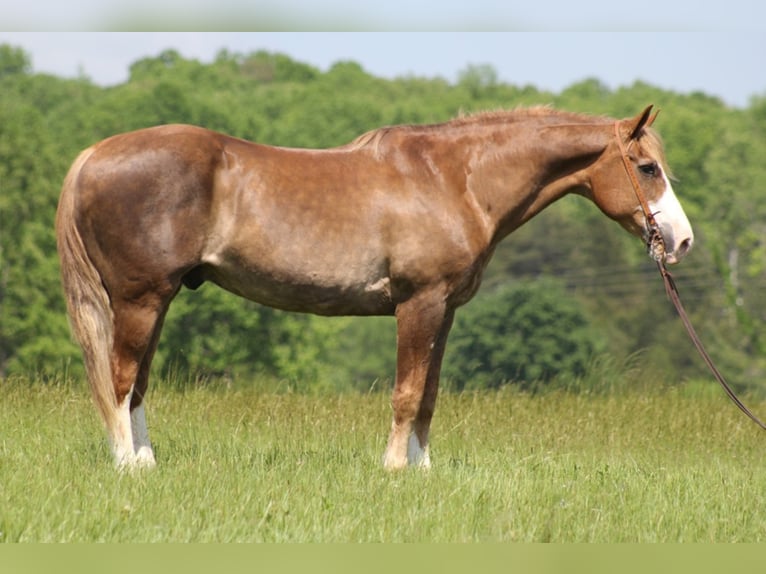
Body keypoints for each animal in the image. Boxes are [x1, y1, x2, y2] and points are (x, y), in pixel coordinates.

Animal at [55, 104, 696, 472]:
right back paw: (127, 467)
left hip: (155, 301)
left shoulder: (445, 311)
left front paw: (422, 471)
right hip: (140, 299)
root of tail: (92, 155)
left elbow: (429, 395)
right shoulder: (419, 303)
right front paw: (392, 471)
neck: (453, 179)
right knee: (119, 380)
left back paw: (145, 462)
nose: (682, 240)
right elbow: (406, 393)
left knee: (136, 384)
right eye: (646, 168)